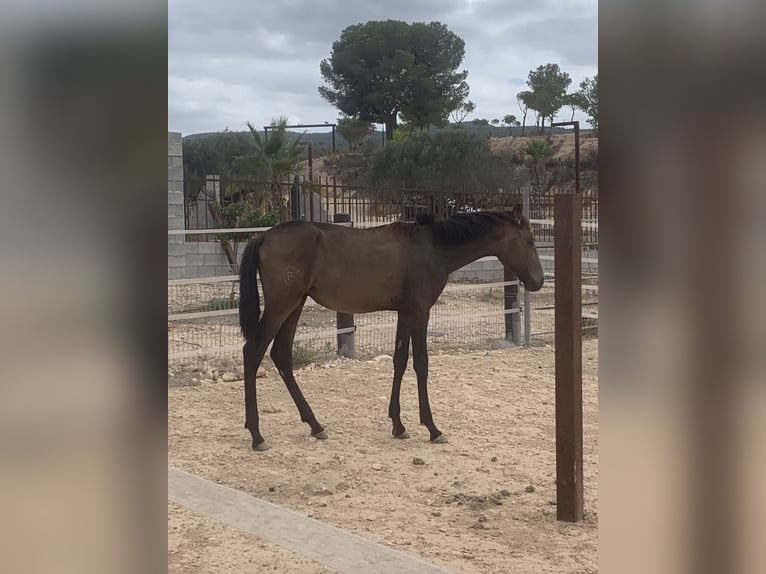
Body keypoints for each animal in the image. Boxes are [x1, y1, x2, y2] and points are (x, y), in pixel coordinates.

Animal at [237, 205, 544, 452]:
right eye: (529, 241)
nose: (538, 282)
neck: (432, 247)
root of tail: (263, 236)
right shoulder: (420, 312)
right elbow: (421, 363)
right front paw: (432, 428)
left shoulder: (405, 313)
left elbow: (399, 360)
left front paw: (398, 425)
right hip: (281, 306)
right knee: (253, 352)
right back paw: (257, 435)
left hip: (295, 305)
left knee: (281, 355)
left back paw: (315, 425)